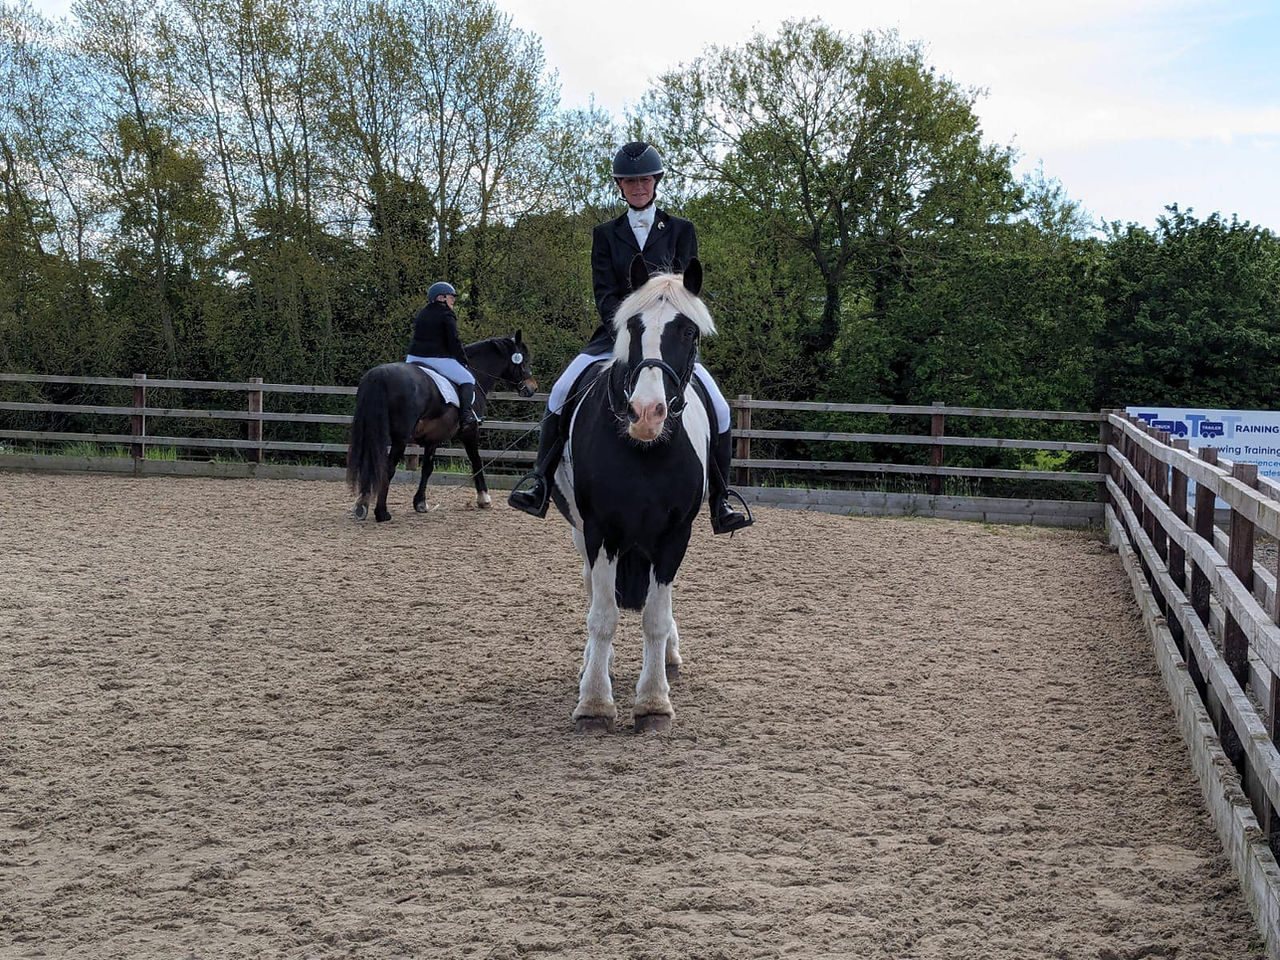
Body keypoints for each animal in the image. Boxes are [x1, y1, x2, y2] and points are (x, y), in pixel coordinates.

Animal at [347, 332, 537, 522]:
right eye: (525, 359)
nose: (532, 387)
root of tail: (378, 375)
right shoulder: (470, 431)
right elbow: (476, 461)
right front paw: (484, 499)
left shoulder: (433, 438)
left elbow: (427, 468)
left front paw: (420, 503)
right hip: (400, 438)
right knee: (387, 467)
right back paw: (382, 512)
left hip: (372, 433)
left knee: (370, 464)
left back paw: (362, 505)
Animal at [550, 258, 718, 735]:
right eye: (632, 326)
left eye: (688, 332)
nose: (645, 414)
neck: (646, 449)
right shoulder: (599, 530)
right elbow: (603, 615)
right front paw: (594, 702)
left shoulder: (676, 534)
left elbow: (655, 617)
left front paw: (654, 702)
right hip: (580, 532)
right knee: (593, 590)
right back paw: (593, 665)